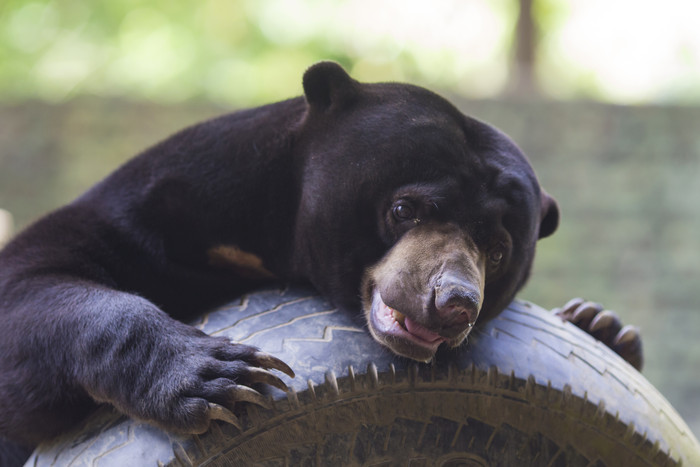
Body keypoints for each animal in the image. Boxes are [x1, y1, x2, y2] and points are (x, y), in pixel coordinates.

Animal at [0, 61, 640, 460]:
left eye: (498, 249)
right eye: (405, 208)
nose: (454, 301)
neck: (271, 237)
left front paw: (602, 325)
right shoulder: (155, 202)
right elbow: (33, 285)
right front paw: (220, 377)